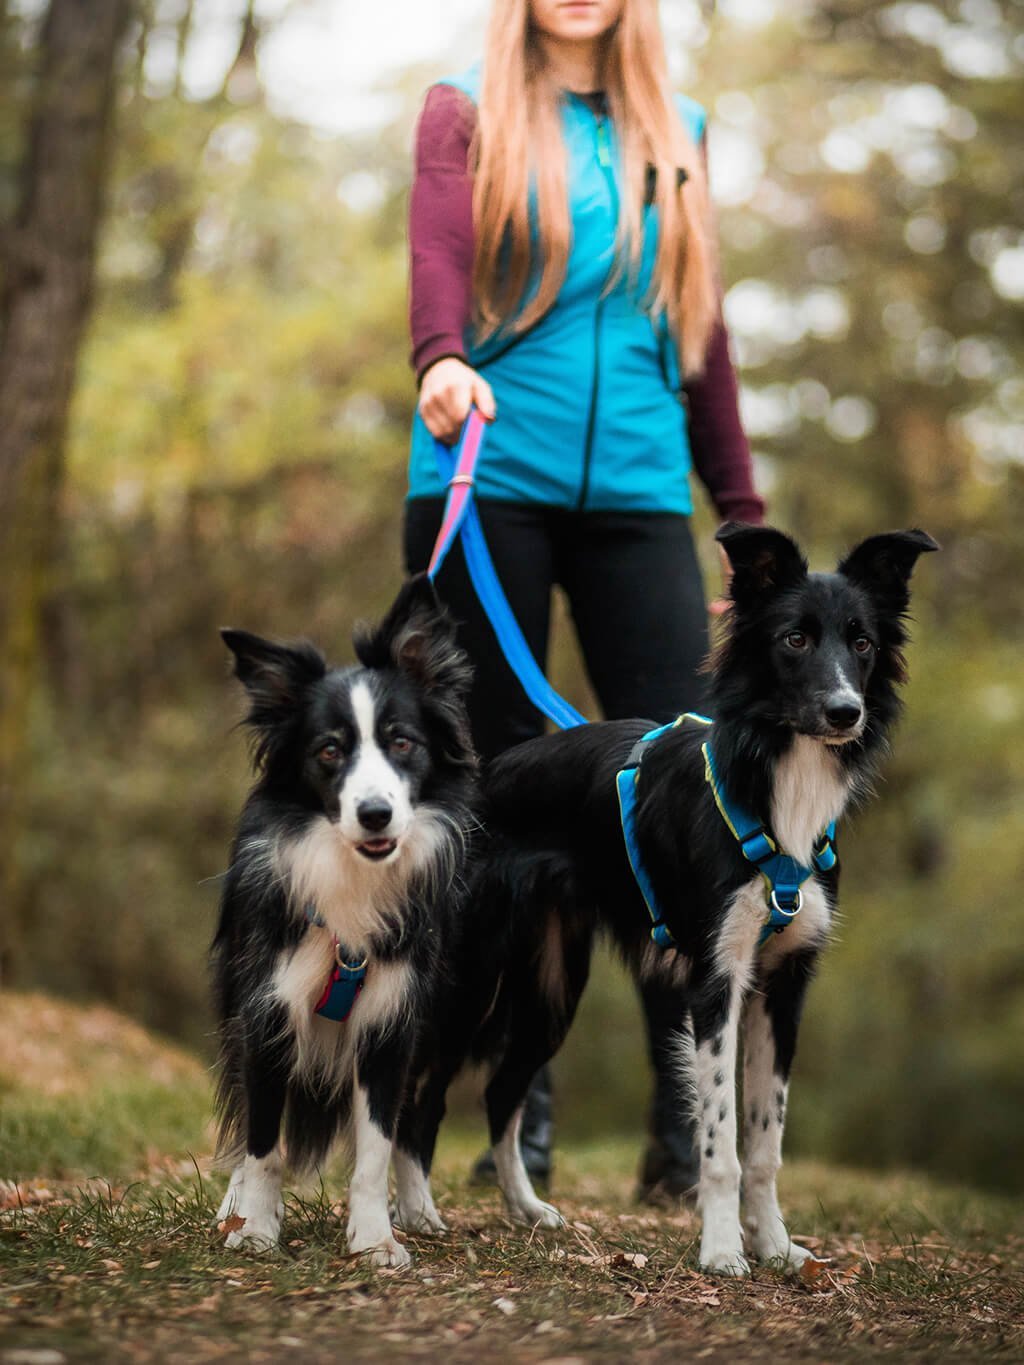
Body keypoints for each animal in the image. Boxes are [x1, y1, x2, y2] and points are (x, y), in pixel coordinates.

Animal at [214, 576, 480, 1266]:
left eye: (402, 742)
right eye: (329, 751)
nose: (375, 814)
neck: (351, 875)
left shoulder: (393, 1019)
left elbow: (377, 1146)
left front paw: (376, 1239)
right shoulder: (267, 1009)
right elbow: (263, 1140)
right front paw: (255, 1227)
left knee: (415, 1124)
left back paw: (417, 1211)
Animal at [401, 524, 939, 1277]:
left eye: (861, 642)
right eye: (794, 639)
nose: (845, 713)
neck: (777, 782)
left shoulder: (784, 985)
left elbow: (766, 1143)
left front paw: (776, 1246)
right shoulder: (717, 980)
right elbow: (722, 1144)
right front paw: (722, 1249)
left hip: (550, 989)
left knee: (503, 1090)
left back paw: (527, 1208)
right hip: (469, 979)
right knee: (418, 1094)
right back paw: (416, 1211)